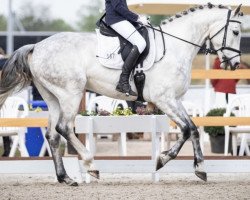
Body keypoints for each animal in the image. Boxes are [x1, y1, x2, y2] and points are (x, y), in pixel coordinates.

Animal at [0, 4, 242, 186]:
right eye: (237, 32)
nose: (235, 64)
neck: (175, 47)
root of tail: (36, 46)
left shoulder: (175, 100)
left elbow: (191, 129)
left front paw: (199, 168)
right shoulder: (165, 99)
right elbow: (187, 129)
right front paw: (164, 160)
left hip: (52, 97)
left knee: (52, 134)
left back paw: (65, 178)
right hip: (71, 93)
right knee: (64, 128)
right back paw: (91, 165)